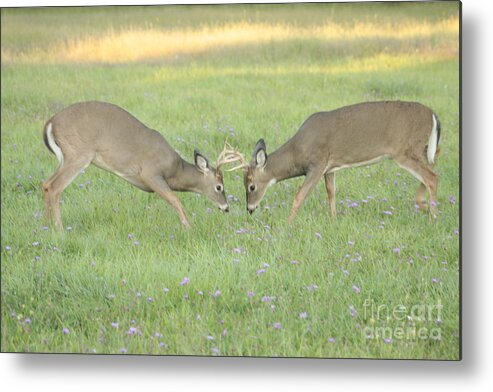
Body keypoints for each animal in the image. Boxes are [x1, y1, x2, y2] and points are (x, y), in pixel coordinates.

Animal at [42, 100, 242, 230]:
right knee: (54, 187)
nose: (226, 208)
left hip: (66, 156)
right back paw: (59, 230)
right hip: (79, 153)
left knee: (45, 183)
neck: (176, 171)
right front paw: (189, 228)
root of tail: (50, 122)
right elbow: (176, 201)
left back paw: (46, 226)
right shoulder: (151, 174)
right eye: (219, 187)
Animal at [231, 101, 442, 224]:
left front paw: (287, 224)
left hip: (404, 150)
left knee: (432, 177)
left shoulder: (317, 163)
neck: (297, 153)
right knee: (432, 165)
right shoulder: (330, 167)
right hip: (421, 149)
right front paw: (333, 219)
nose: (250, 209)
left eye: (251, 186)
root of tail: (433, 115)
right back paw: (425, 206)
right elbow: (331, 192)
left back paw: (432, 216)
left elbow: (300, 195)